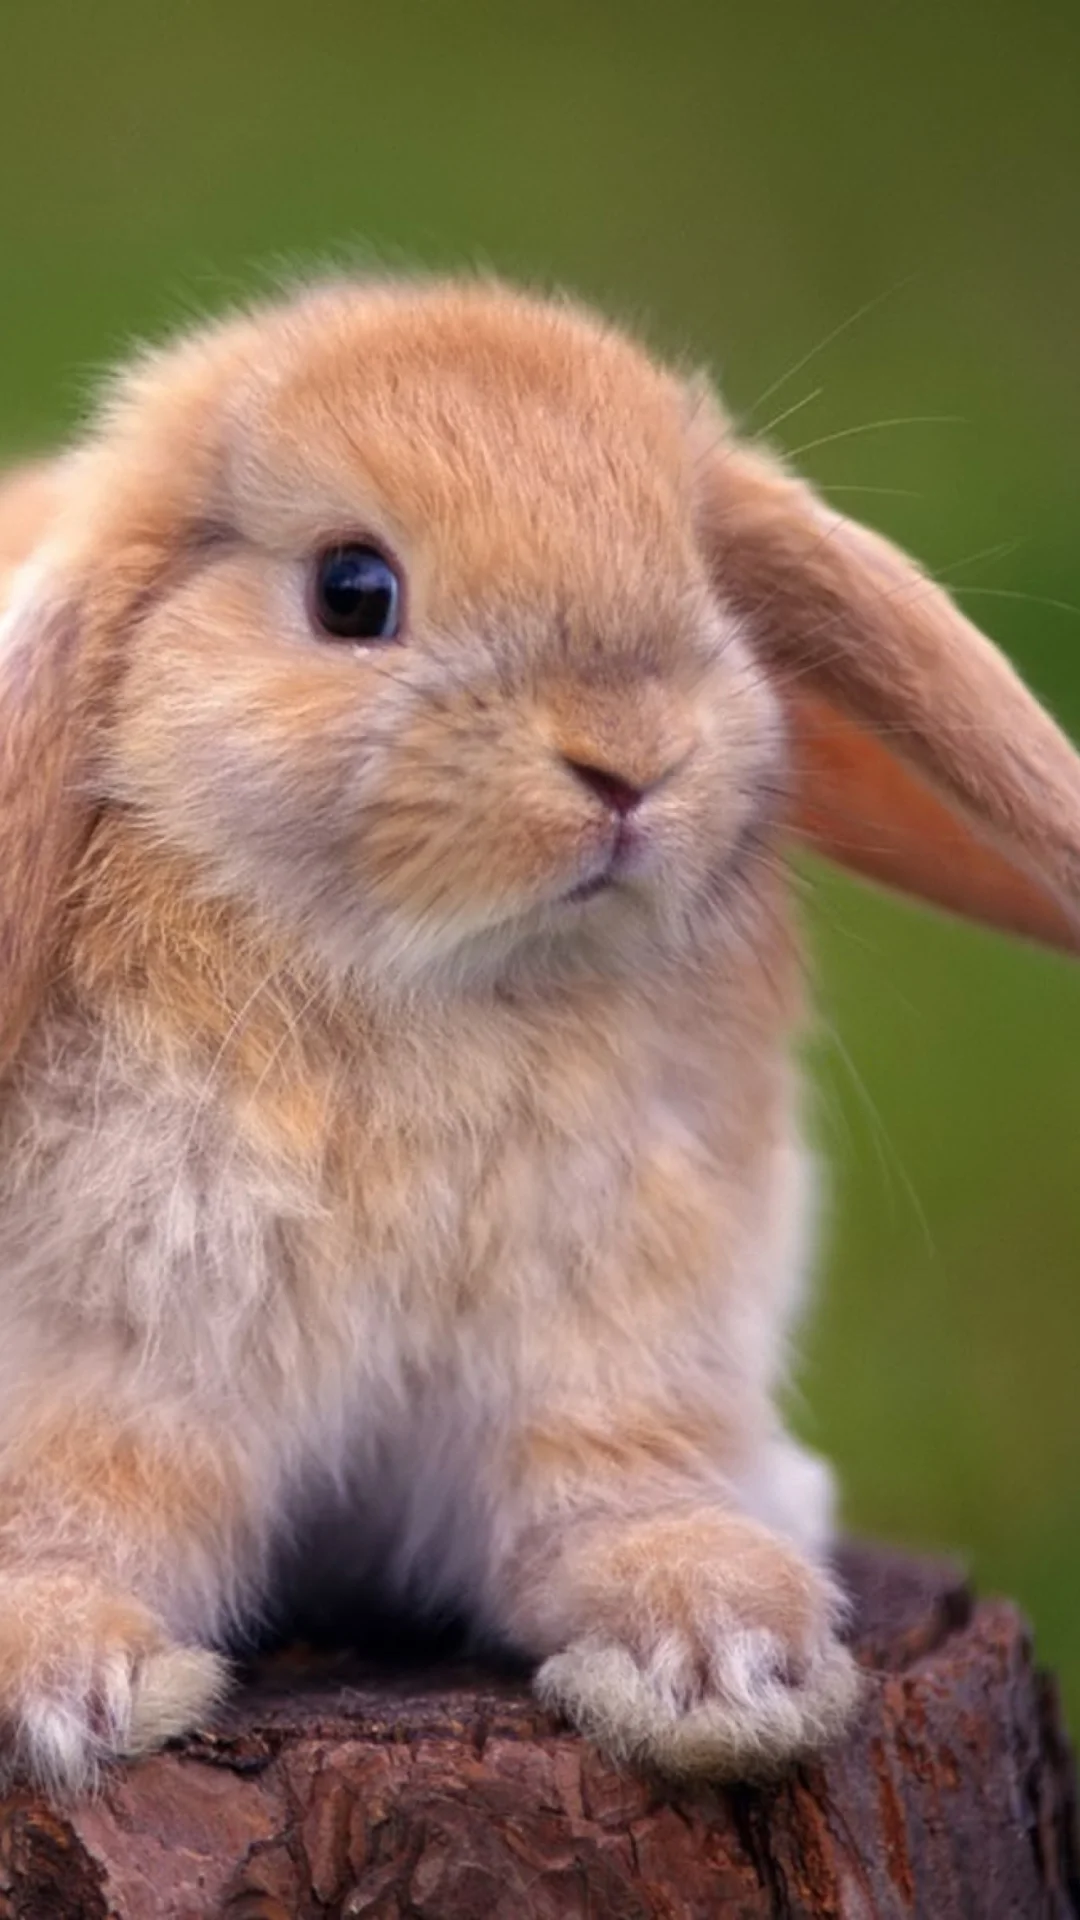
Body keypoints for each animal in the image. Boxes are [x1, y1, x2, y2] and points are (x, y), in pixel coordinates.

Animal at [2, 276, 1079, 1801]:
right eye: (353, 590)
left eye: (701, 574)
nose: (630, 758)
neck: (444, 985)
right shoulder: (119, 1360)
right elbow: (86, 1507)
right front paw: (55, 1685)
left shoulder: (604, 1347)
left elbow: (604, 1499)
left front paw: (725, 1661)